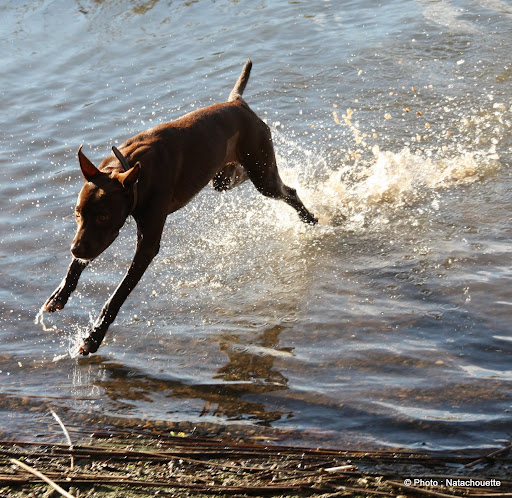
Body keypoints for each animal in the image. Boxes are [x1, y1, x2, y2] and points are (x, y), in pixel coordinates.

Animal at [43, 60, 316, 354]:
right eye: (77, 214)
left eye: (104, 216)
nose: (74, 249)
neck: (129, 170)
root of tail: (237, 103)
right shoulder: (93, 237)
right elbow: (78, 265)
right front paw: (60, 294)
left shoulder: (146, 245)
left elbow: (117, 295)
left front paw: (93, 337)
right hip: (223, 178)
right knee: (239, 175)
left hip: (261, 172)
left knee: (285, 189)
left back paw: (309, 217)